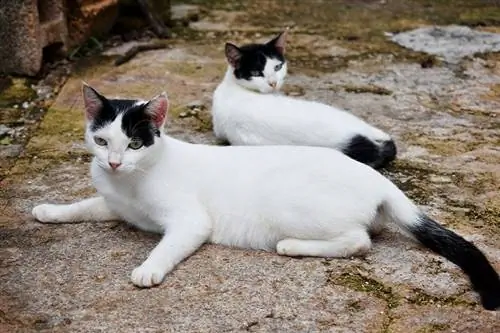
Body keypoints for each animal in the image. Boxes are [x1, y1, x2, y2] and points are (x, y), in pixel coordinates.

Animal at [32, 84, 500, 310]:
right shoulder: (115, 204)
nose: (112, 163)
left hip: (296, 208)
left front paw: (149, 269)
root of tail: (378, 179)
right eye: (101, 140)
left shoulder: (190, 222)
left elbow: (166, 246)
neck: (129, 183)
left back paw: (293, 246)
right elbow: (82, 206)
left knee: (359, 241)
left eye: (133, 144)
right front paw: (48, 210)